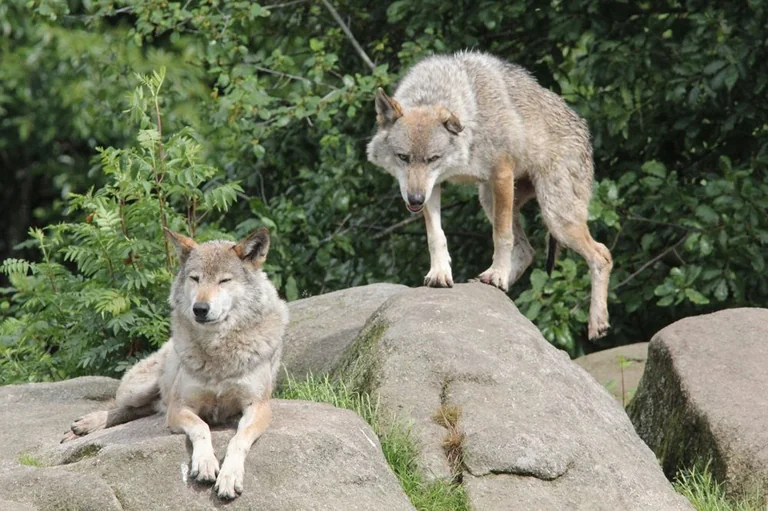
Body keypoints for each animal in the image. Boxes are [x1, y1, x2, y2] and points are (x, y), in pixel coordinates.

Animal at [61, 227, 289, 500]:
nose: (200, 308)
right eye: (195, 278)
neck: (218, 350)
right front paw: (205, 464)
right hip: (138, 390)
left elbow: (238, 440)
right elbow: (202, 428)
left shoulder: (259, 407)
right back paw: (83, 426)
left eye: (224, 281)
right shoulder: (180, 406)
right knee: (119, 407)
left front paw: (229, 477)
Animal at [367, 51, 613, 339]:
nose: (415, 201)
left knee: (602, 254)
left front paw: (497, 274)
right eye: (403, 157)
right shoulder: (433, 187)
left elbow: (501, 236)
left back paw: (596, 321)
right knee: (527, 251)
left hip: (555, 218)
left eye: (433, 158)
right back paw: (492, 283)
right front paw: (440, 274)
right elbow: (436, 235)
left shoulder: (501, 175)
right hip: (487, 198)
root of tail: (583, 126)